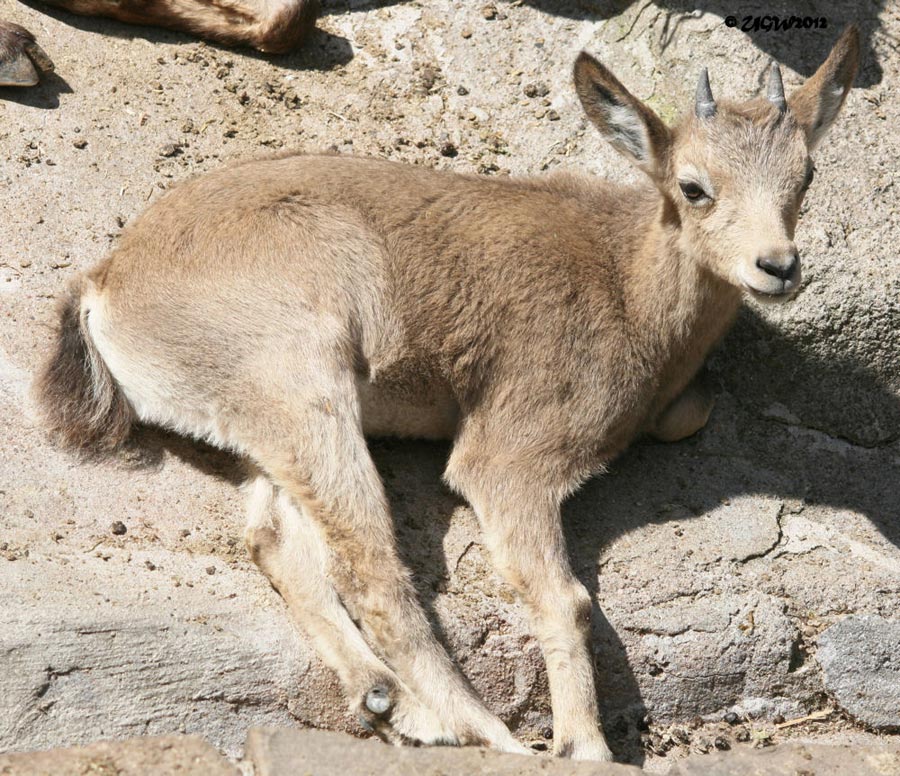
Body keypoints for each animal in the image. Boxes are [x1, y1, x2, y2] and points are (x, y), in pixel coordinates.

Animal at [35, 28, 859, 761]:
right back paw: (484, 732)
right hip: (306, 377)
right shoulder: (511, 459)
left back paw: (384, 698)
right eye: (693, 186)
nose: (777, 266)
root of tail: (106, 287)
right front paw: (584, 744)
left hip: (266, 422)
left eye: (807, 177)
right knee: (372, 573)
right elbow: (564, 597)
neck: (627, 282)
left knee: (277, 538)